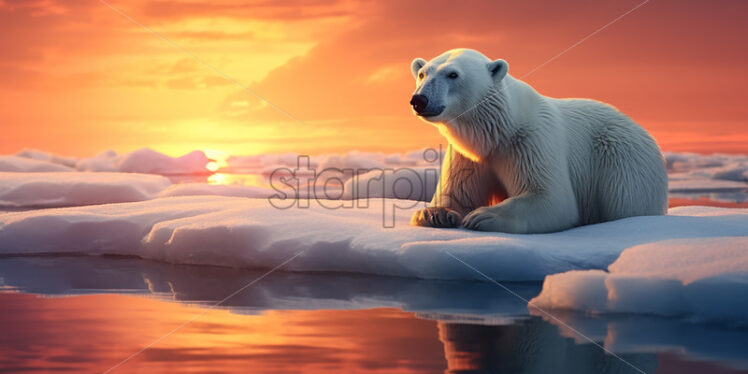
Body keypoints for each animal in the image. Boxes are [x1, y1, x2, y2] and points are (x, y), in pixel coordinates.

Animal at [410, 48, 668, 232]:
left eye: (453, 74)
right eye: (422, 73)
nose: (419, 100)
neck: (499, 131)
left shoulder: (531, 140)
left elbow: (551, 198)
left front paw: (483, 215)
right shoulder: (468, 155)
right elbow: (458, 192)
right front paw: (435, 214)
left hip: (621, 160)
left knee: (627, 200)